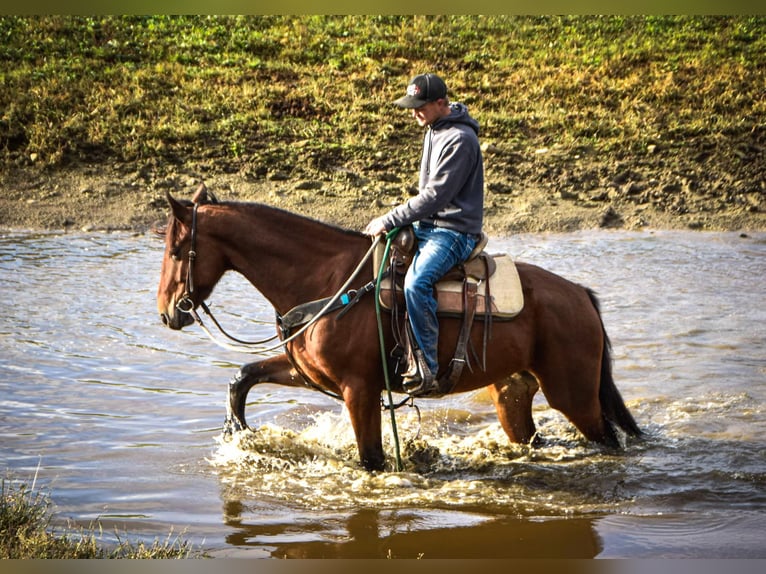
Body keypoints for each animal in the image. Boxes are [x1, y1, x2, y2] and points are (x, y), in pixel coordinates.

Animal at [154, 189, 640, 472]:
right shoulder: (313, 374)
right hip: (513, 395)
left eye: (176, 250)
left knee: (608, 438)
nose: (166, 313)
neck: (328, 280)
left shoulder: (359, 389)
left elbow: (370, 459)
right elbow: (243, 376)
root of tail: (580, 295)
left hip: (573, 394)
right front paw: (237, 432)